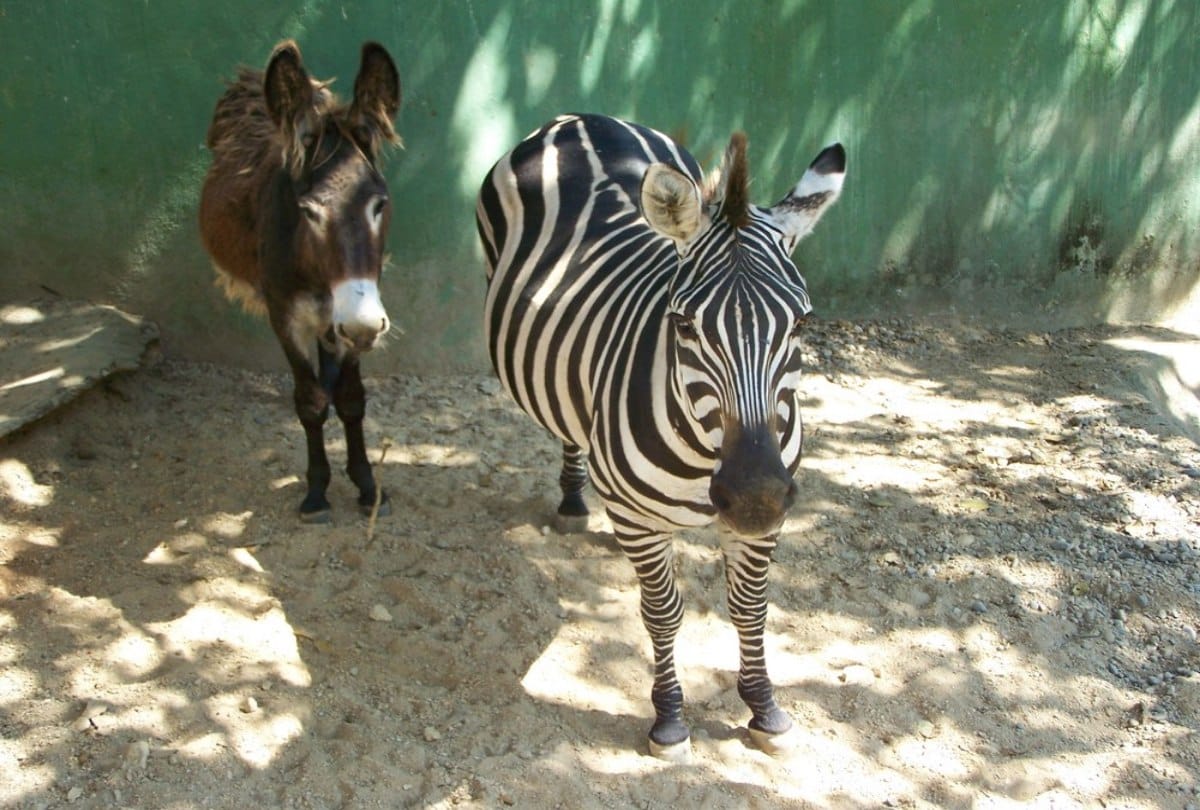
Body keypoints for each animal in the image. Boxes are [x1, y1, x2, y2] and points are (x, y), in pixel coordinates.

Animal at [476, 113, 845, 759]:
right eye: (682, 323)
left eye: (801, 321)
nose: (753, 497)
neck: (708, 452)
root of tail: (581, 118)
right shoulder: (638, 519)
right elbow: (663, 613)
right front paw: (670, 717)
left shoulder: (769, 516)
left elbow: (750, 609)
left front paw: (764, 708)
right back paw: (573, 502)